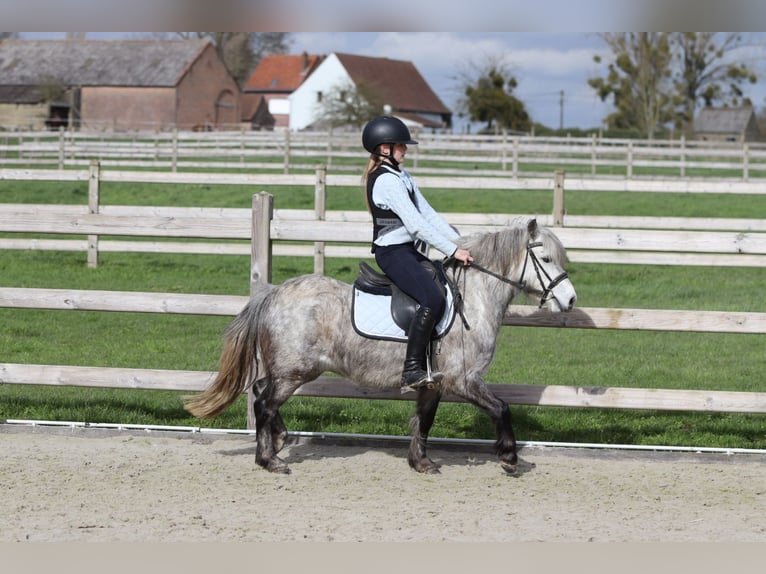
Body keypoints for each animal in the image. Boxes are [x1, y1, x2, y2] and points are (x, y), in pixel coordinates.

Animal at [184, 218, 577, 475]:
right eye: (545, 259)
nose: (570, 300)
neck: (473, 299)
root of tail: (274, 292)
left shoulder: (433, 383)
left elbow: (424, 420)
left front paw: (421, 462)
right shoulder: (463, 379)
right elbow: (501, 408)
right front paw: (509, 458)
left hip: (287, 369)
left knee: (260, 393)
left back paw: (277, 443)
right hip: (295, 371)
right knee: (264, 403)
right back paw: (270, 460)